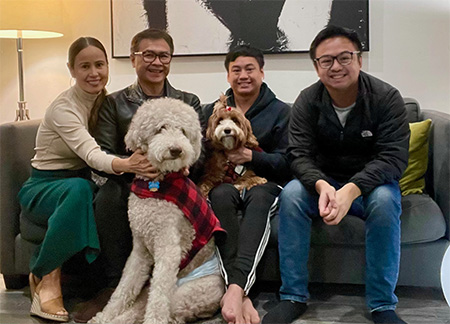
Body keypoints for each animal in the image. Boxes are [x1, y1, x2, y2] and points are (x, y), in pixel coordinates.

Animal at [90, 98, 225, 324]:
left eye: (183, 131)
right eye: (161, 128)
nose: (176, 150)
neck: (157, 185)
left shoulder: (167, 250)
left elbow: (159, 298)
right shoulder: (140, 249)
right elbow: (124, 288)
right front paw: (107, 313)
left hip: (186, 295)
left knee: (154, 309)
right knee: (137, 309)